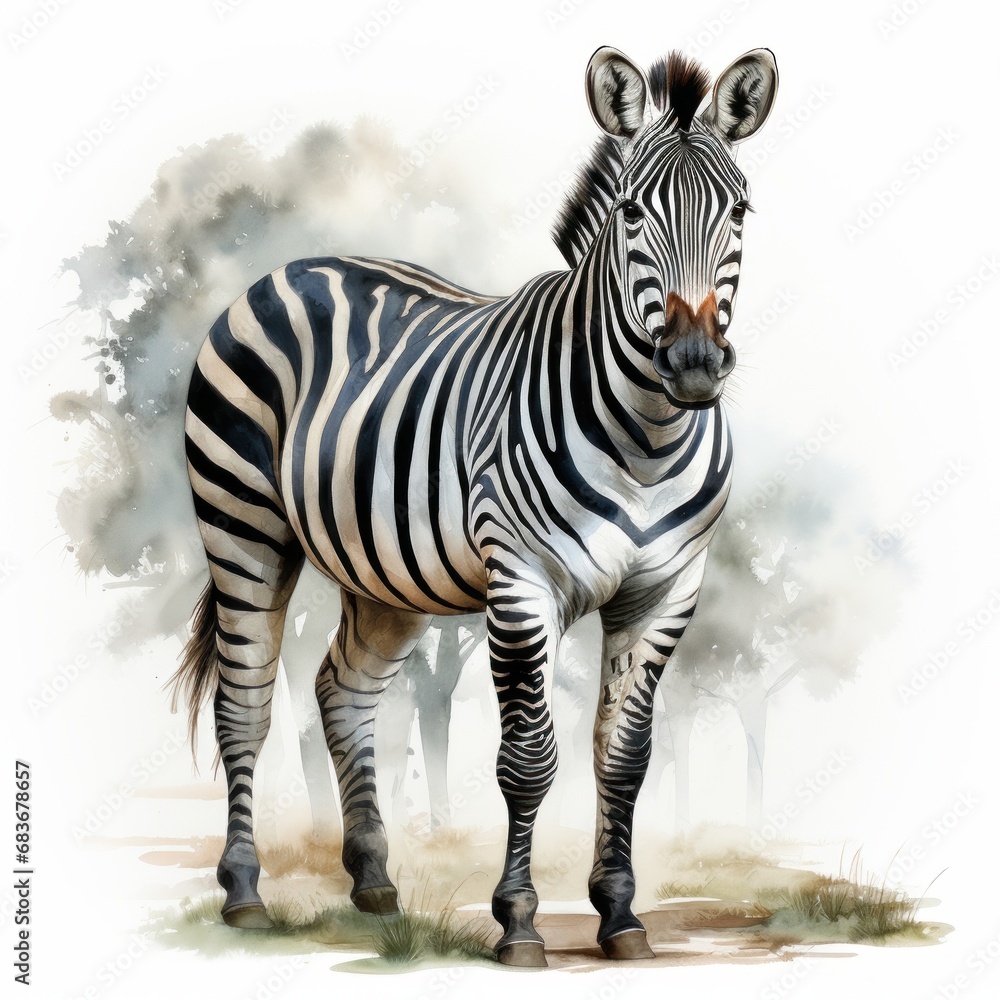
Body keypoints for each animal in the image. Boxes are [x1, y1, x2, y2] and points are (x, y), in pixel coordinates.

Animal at [172, 45, 777, 966]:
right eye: (632, 211)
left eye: (738, 210)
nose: (696, 362)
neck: (648, 438)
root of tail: (295, 265)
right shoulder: (522, 583)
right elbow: (528, 759)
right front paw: (519, 920)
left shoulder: (668, 590)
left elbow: (624, 757)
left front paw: (619, 914)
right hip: (243, 522)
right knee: (245, 703)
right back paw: (244, 894)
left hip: (383, 575)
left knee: (341, 688)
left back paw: (373, 880)